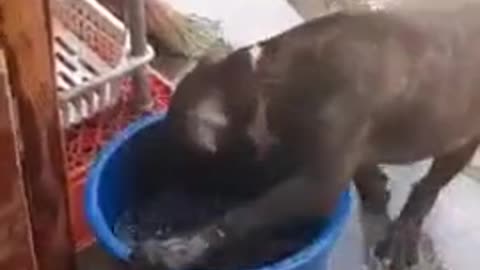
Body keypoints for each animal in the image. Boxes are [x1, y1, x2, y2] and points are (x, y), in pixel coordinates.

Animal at [133, 6, 480, 270]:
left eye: (193, 162)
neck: (263, 84)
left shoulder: (318, 184)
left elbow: (247, 214)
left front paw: (176, 249)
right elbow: (366, 173)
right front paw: (375, 190)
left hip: (463, 136)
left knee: (431, 184)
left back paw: (403, 234)